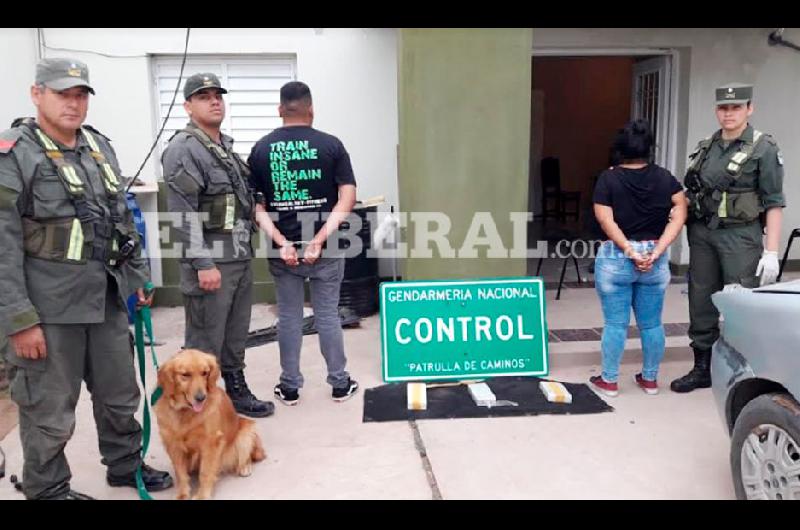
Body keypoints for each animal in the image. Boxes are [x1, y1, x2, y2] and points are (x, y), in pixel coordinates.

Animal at [155, 348, 268, 498]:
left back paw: (245, 467)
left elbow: (205, 472)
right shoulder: (173, 444)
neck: (186, 412)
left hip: (246, 431)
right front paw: (182, 494)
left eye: (205, 372)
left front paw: (202, 495)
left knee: (247, 454)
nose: (201, 398)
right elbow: (181, 474)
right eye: (185, 375)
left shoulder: (211, 443)